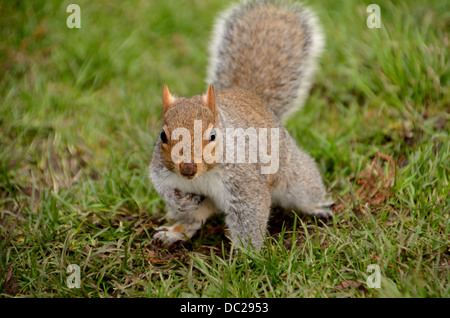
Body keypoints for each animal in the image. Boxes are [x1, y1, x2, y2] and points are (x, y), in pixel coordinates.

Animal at [149, 0, 332, 250]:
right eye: (163, 136)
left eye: (213, 136)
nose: (187, 169)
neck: (202, 176)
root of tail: (252, 96)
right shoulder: (160, 171)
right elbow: (163, 187)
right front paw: (180, 199)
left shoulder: (245, 181)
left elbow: (250, 212)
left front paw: (247, 254)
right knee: (194, 220)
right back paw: (175, 231)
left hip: (292, 174)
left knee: (304, 189)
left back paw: (317, 206)